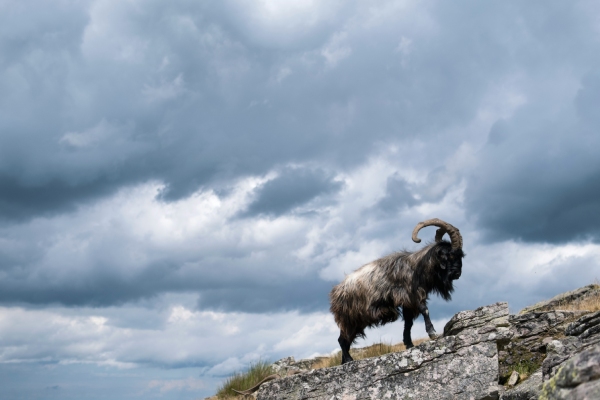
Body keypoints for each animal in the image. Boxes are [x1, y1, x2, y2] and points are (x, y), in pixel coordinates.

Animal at [328, 217, 464, 364]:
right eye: (451, 255)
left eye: (461, 256)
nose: (457, 274)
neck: (417, 267)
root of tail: (335, 293)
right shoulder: (412, 295)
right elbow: (424, 310)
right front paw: (432, 333)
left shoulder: (407, 302)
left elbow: (408, 323)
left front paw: (409, 344)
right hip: (349, 319)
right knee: (342, 340)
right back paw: (348, 360)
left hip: (356, 321)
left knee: (345, 340)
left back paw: (345, 360)